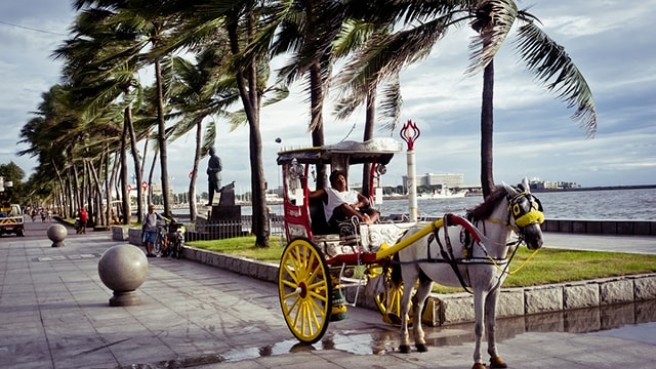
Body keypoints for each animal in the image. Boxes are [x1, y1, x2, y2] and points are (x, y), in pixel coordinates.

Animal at [394, 177, 544, 366]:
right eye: (518, 209)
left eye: (537, 207)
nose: (537, 240)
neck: (487, 243)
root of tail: (408, 232)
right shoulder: (480, 290)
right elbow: (480, 326)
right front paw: (478, 361)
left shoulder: (495, 290)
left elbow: (492, 324)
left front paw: (495, 356)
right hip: (410, 274)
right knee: (405, 305)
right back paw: (404, 343)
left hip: (427, 278)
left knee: (418, 304)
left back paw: (420, 342)